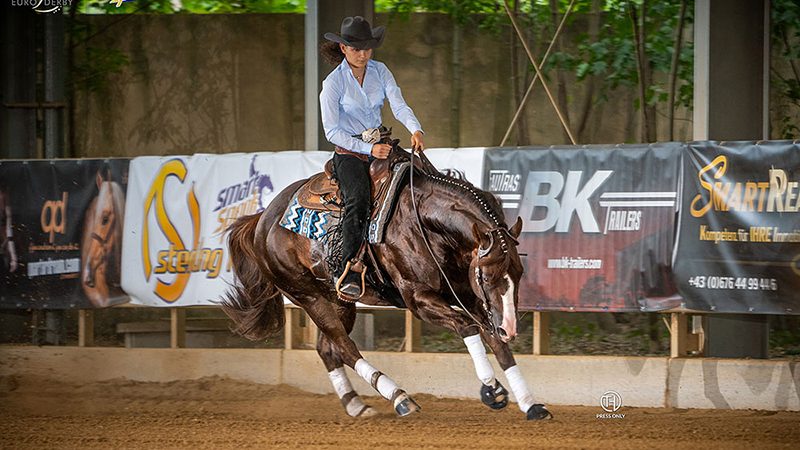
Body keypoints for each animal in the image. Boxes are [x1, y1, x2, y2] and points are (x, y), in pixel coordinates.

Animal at [222, 149, 552, 422]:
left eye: (519, 273)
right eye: (487, 275)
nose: (510, 326)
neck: (426, 221)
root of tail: (262, 220)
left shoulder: (469, 297)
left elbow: (496, 342)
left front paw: (531, 404)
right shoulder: (418, 299)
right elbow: (467, 327)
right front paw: (491, 389)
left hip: (338, 300)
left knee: (328, 348)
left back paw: (356, 404)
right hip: (307, 295)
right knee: (345, 347)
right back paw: (399, 398)